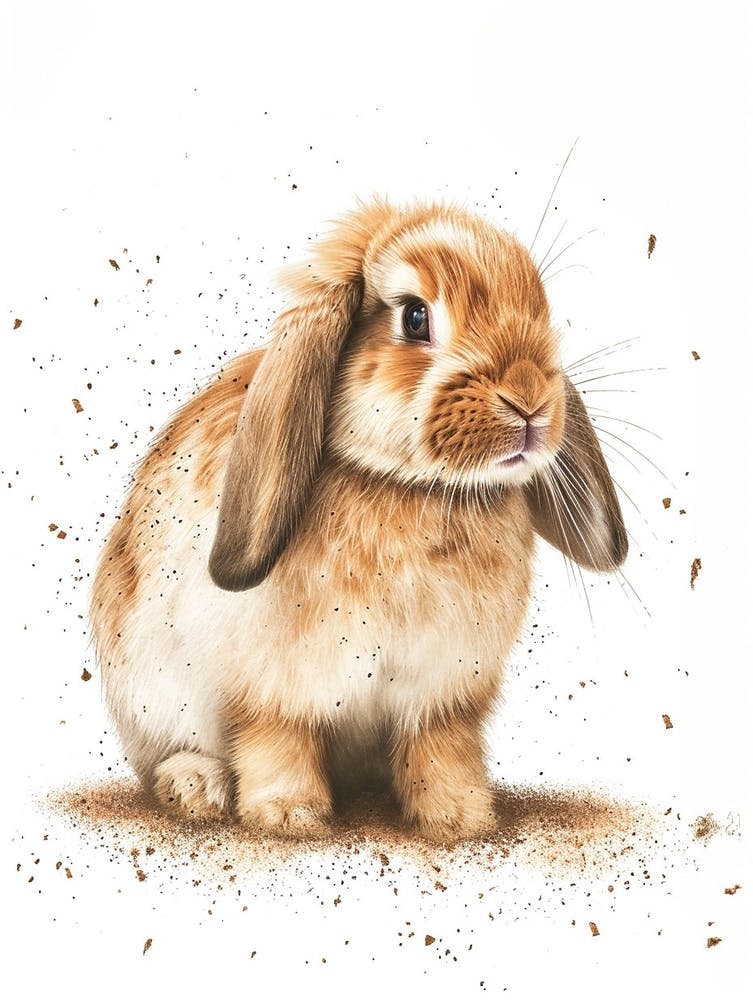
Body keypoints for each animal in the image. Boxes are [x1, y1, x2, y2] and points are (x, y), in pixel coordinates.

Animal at [90, 199, 627, 842]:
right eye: (416, 317)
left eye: (540, 307)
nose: (530, 401)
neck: (409, 487)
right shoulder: (274, 685)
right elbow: (276, 736)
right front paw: (289, 816)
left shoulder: (444, 689)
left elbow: (440, 748)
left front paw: (461, 818)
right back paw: (195, 787)